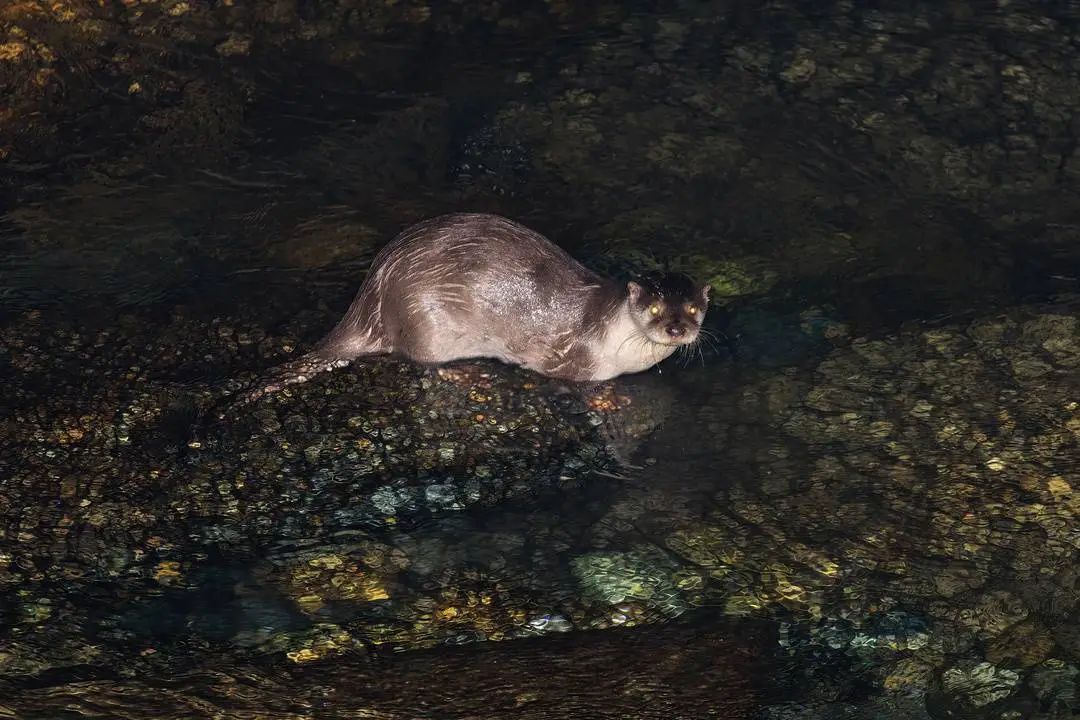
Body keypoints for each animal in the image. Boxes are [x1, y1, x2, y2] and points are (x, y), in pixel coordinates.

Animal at [248, 213, 712, 403]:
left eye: (692, 310)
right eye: (655, 310)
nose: (676, 329)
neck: (613, 336)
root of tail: (373, 292)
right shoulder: (576, 359)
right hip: (424, 315)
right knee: (416, 358)